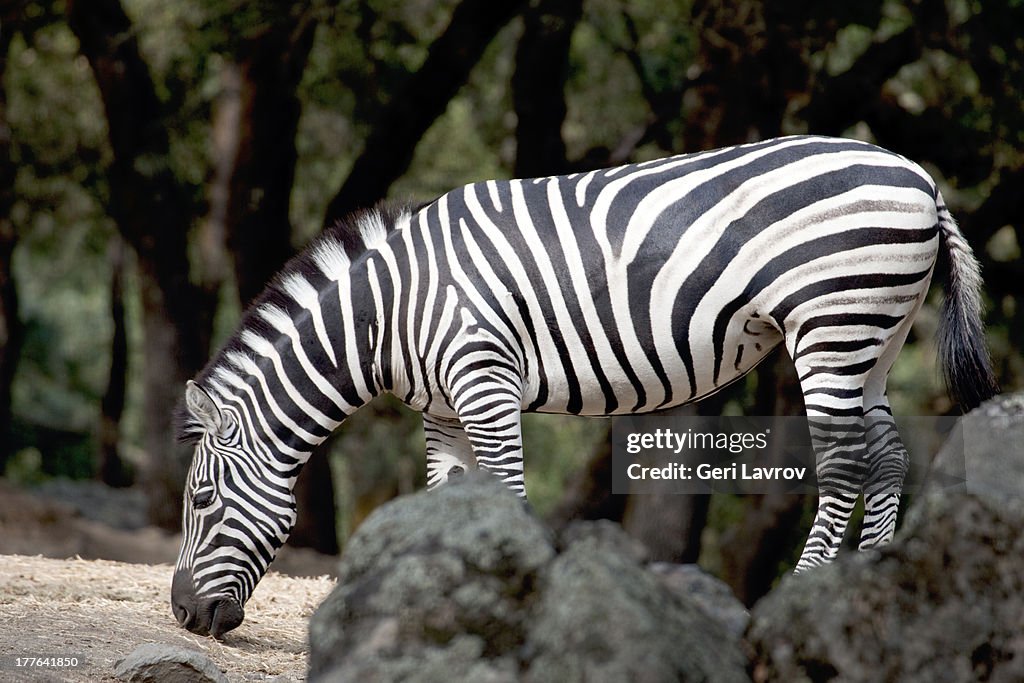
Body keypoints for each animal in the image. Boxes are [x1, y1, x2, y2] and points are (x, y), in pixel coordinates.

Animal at [172, 136, 995, 638]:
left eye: (202, 499)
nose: (182, 613)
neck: (389, 311)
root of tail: (919, 175)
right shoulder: (441, 410)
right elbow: (449, 499)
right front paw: (435, 594)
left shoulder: (484, 378)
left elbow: (506, 491)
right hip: (876, 334)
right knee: (888, 457)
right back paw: (864, 591)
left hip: (833, 321)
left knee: (848, 464)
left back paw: (806, 592)